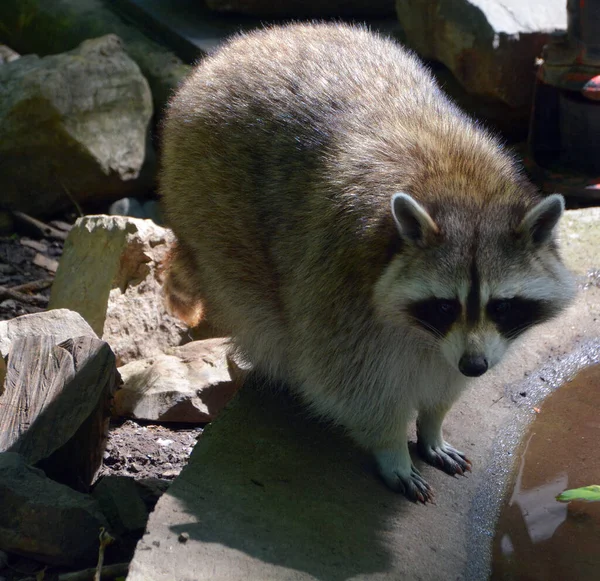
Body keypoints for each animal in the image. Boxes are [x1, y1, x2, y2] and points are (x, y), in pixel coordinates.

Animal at [161, 22, 576, 500]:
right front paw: (391, 445)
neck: (463, 189)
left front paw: (433, 422)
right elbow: (350, 379)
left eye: (503, 305)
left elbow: (445, 375)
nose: (475, 366)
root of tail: (244, 44)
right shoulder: (342, 277)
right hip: (207, 200)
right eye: (445, 305)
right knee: (260, 308)